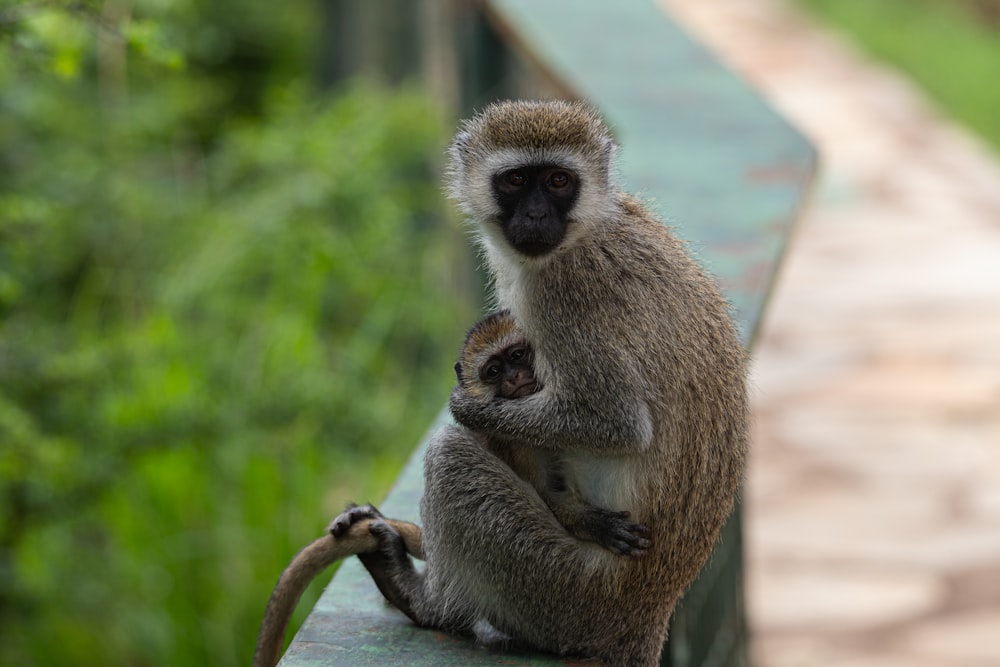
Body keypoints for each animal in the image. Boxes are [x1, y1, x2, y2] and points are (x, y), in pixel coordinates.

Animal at [458, 312, 652, 560]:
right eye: (493, 371)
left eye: (517, 355)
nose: (514, 376)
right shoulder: (518, 444)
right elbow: (545, 494)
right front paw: (597, 525)